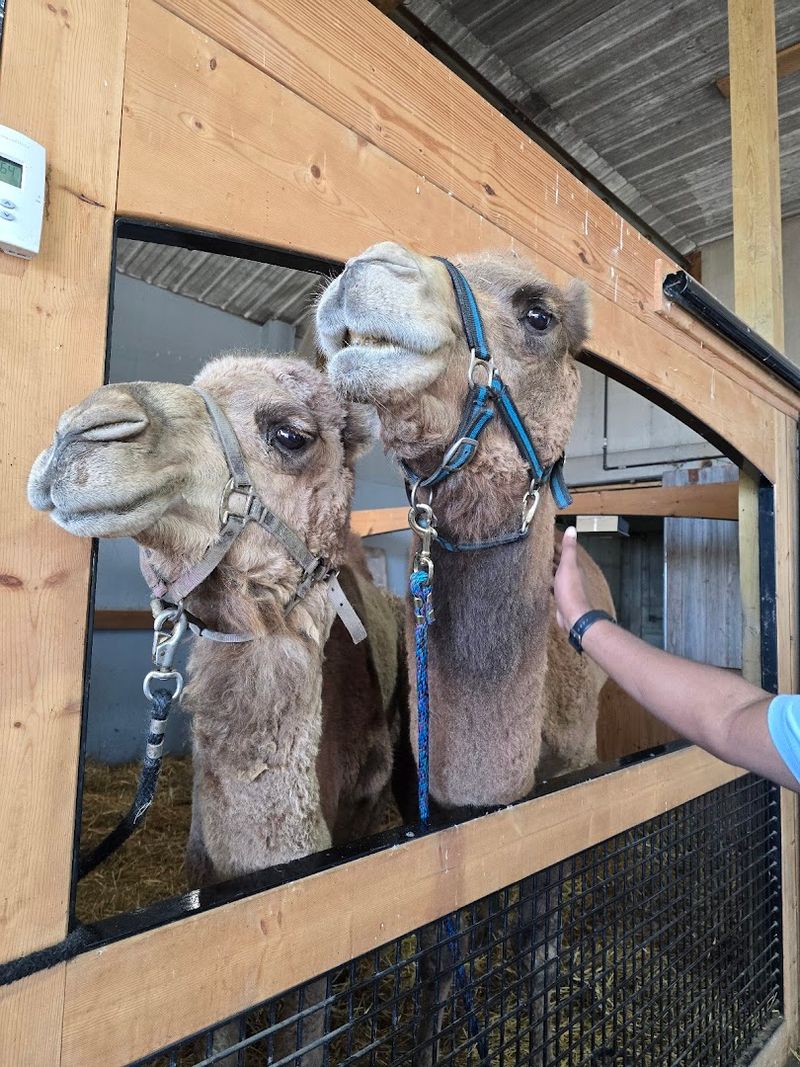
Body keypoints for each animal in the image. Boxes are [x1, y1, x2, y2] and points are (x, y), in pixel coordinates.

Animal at [28, 352, 411, 1060]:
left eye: (290, 434)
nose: (79, 433)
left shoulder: (331, 888)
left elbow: (311, 1028)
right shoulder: (210, 898)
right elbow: (225, 1033)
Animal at [317, 242, 614, 1062]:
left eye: (539, 313)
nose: (367, 269)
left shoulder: (566, 793)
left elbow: (540, 948)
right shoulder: (427, 811)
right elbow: (437, 962)